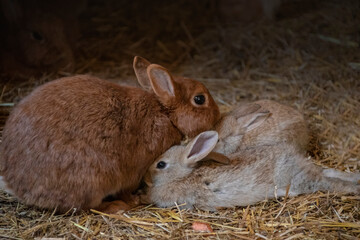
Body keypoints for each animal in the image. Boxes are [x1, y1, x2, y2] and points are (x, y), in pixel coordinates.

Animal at [0, 56, 219, 214]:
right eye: (200, 99)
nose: (217, 113)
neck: (165, 113)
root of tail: (16, 184)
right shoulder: (135, 170)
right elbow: (127, 188)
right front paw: (133, 200)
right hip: (94, 178)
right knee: (88, 206)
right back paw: (117, 206)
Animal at [143, 100, 360, 209]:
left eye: (161, 165)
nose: (145, 178)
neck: (182, 176)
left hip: (301, 179)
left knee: (330, 183)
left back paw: (354, 188)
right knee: (328, 172)